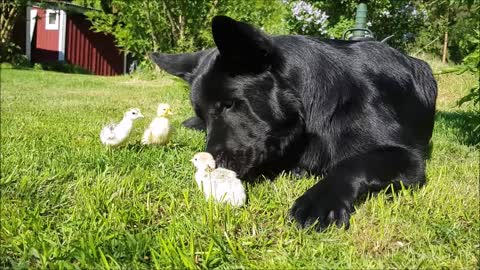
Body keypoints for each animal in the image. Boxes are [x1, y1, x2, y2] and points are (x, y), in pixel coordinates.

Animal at [152, 15, 436, 230]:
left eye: (229, 105)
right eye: (204, 115)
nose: (211, 166)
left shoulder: (407, 157)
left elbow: (353, 163)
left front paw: (319, 201)